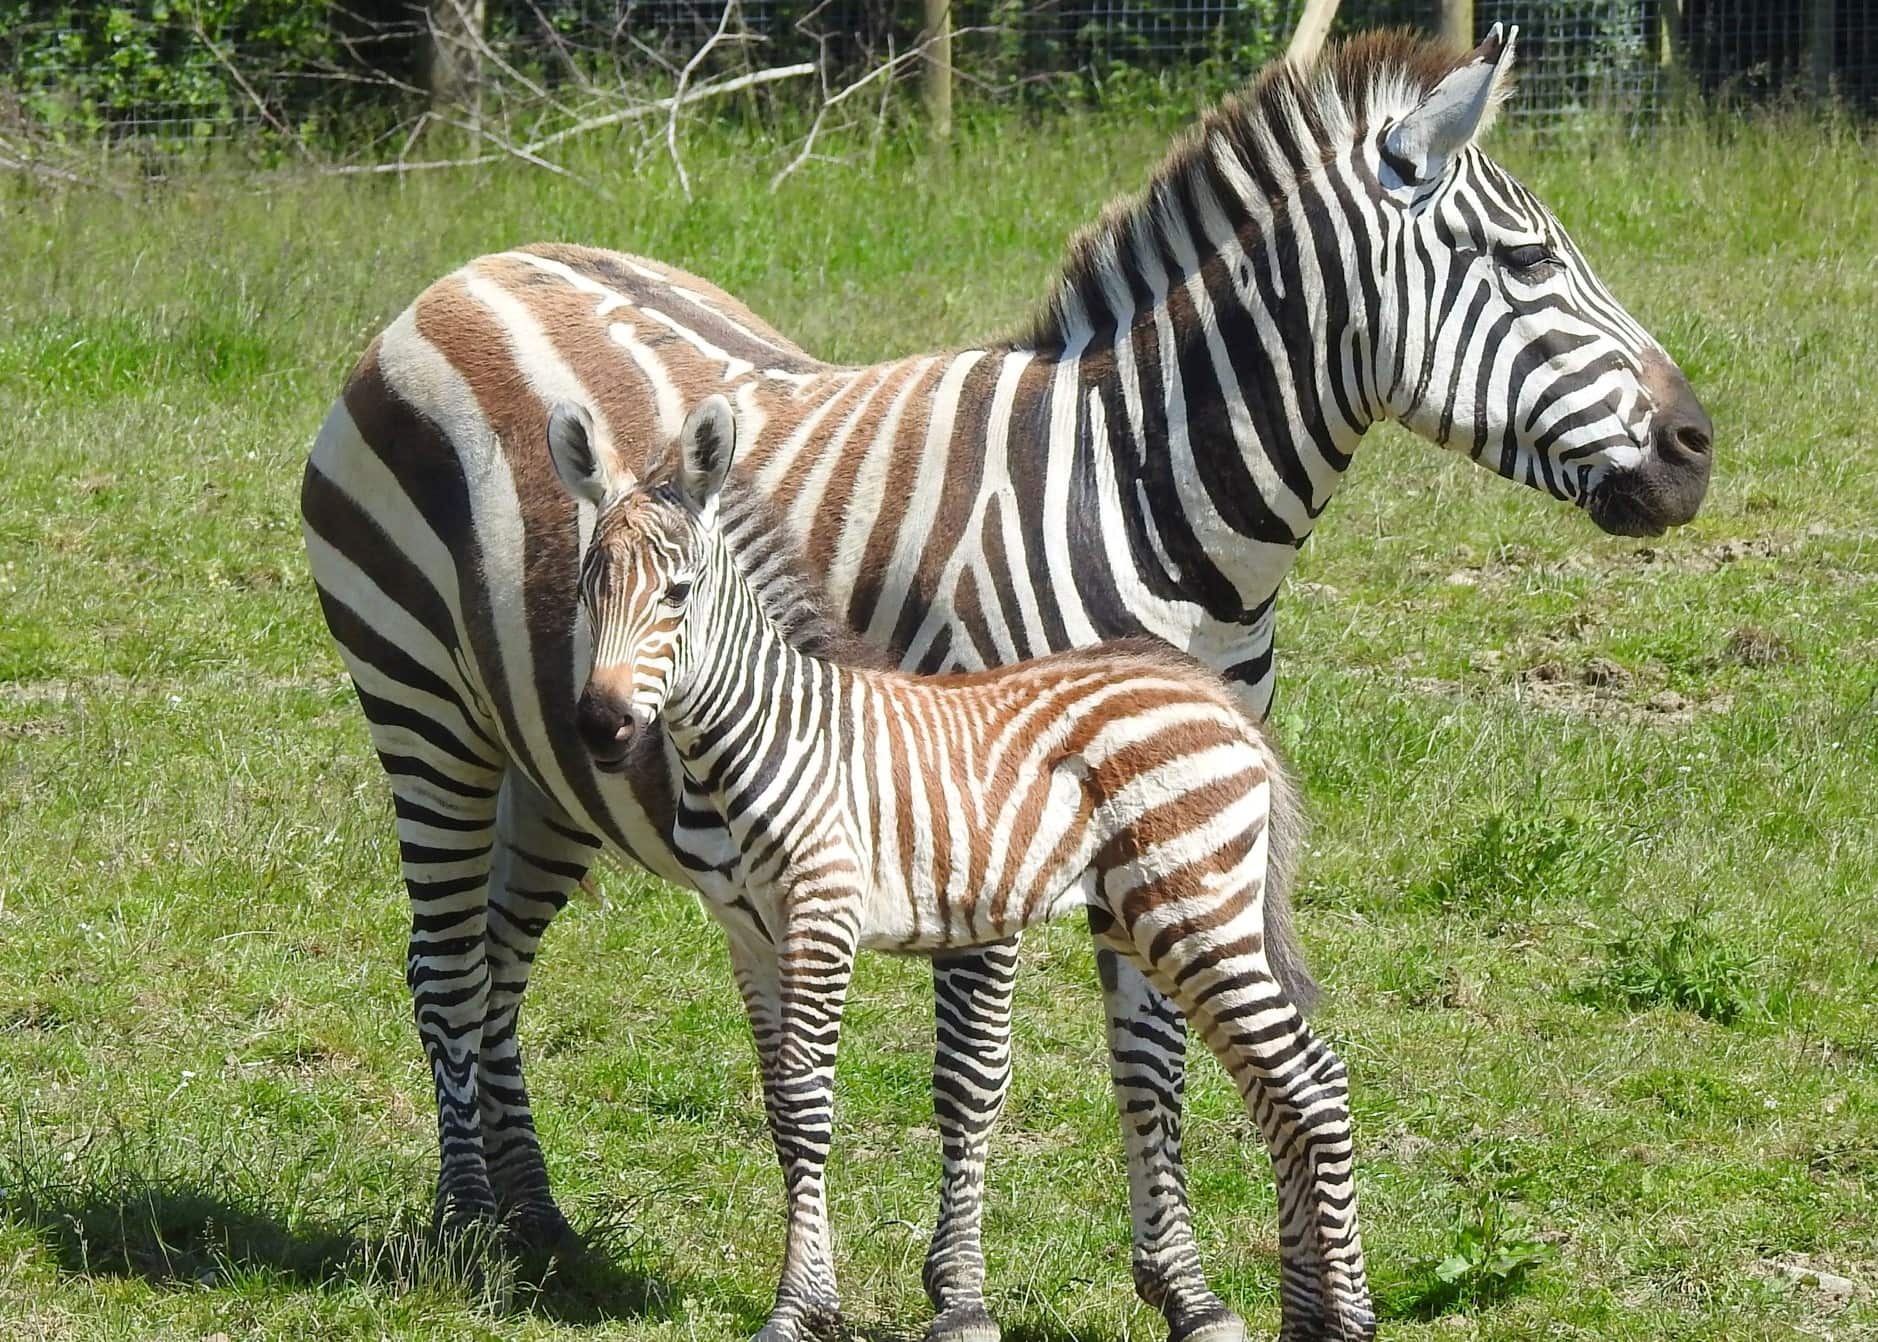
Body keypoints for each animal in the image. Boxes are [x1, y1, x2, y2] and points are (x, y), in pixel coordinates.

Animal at [548, 394, 1374, 1342]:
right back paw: (1306, 1317)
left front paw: (797, 1309)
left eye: (677, 594)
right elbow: (781, 1105)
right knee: (1276, 1088)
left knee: (1313, 1083)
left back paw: (1349, 1318)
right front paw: (812, 1298)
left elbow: (809, 1101)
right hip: (1155, 920)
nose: (602, 726)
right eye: (587, 588)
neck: (767, 731)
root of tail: (1219, 703)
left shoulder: (821, 918)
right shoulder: (747, 934)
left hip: (1196, 910)